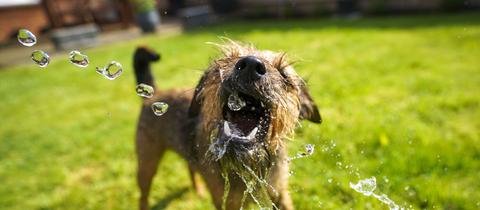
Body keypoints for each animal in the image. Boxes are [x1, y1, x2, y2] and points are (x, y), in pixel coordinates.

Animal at [133, 41, 320, 210]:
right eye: (226, 61)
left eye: (284, 75)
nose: (251, 64)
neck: (249, 164)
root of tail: (153, 93)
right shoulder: (227, 202)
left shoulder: (279, 194)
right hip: (147, 162)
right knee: (143, 194)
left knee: (190, 168)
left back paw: (199, 191)